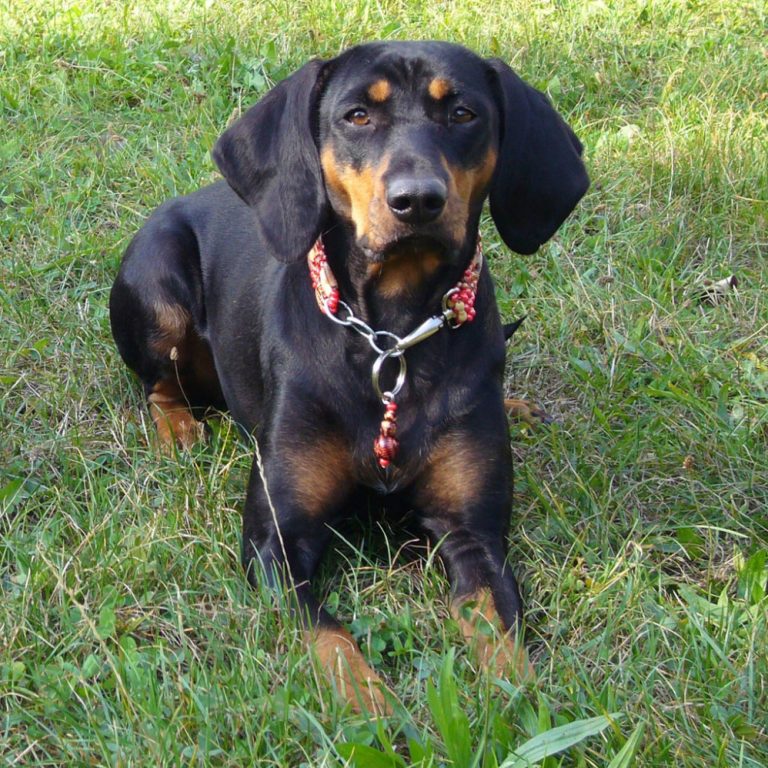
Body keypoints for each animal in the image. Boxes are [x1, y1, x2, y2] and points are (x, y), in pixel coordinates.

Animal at [109, 40, 588, 712]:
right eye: (357, 116)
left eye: (463, 113)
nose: (417, 200)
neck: (392, 335)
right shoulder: (277, 543)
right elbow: (329, 637)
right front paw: (372, 704)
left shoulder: (474, 534)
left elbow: (499, 633)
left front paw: (521, 704)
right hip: (157, 286)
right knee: (159, 383)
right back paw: (177, 428)